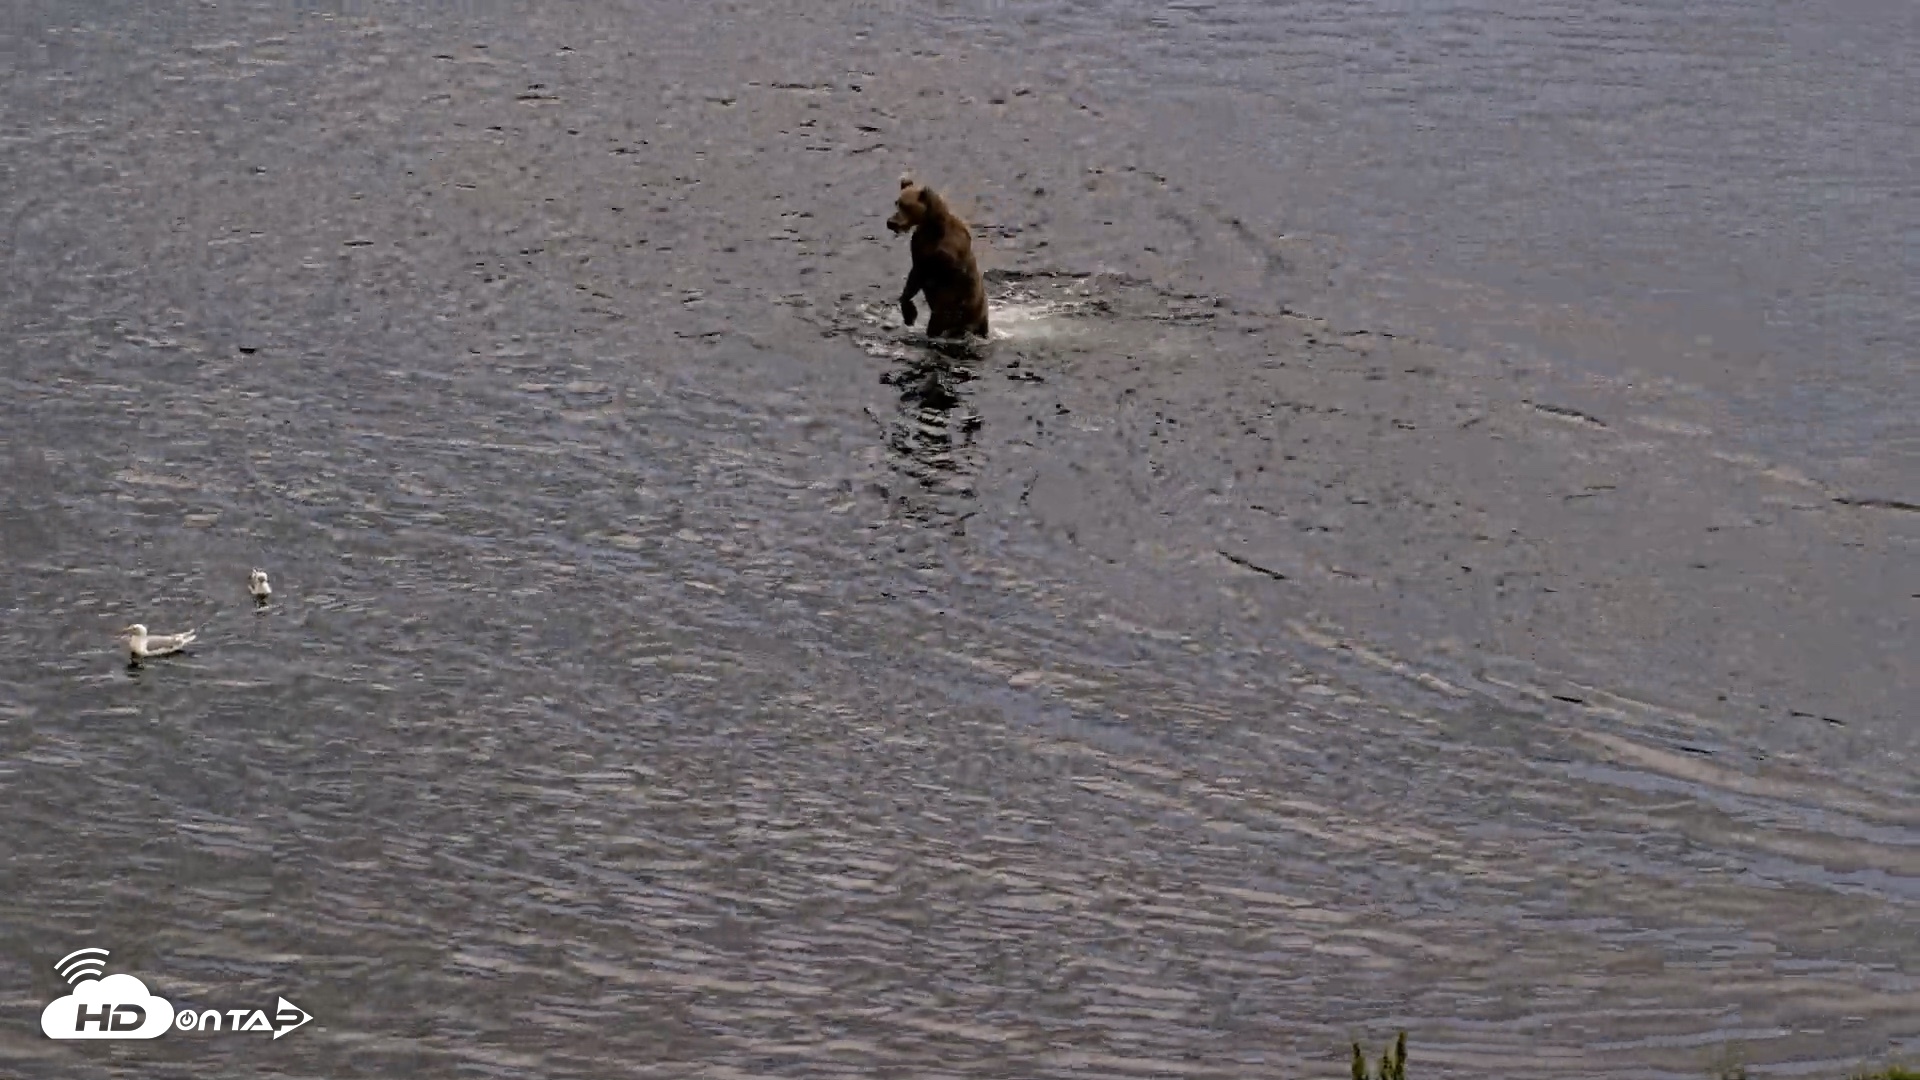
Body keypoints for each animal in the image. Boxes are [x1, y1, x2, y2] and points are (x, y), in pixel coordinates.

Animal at [887, 175, 989, 339]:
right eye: (896, 202)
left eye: (906, 206)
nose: (891, 222)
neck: (933, 229)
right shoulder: (919, 250)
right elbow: (912, 282)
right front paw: (909, 315)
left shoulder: (947, 257)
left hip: (974, 311)